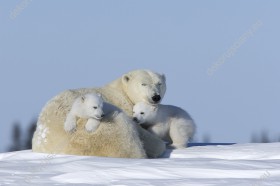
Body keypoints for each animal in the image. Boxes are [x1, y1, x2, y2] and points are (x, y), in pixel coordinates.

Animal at [33, 70, 168, 158]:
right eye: (143, 84)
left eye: (159, 83)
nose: (156, 97)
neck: (122, 91)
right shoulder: (123, 106)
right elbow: (141, 130)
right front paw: (160, 145)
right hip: (97, 133)